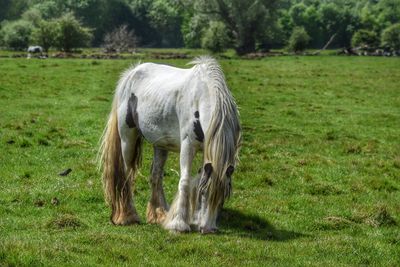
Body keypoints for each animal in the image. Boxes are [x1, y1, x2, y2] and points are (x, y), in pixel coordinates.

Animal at [99, 56, 241, 234]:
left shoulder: (207, 151)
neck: (201, 96)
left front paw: (194, 219)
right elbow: (185, 181)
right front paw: (179, 224)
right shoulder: (188, 145)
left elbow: (198, 177)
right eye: (204, 192)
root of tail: (132, 72)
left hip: (160, 145)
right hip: (127, 139)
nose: (208, 229)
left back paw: (158, 215)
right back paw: (127, 216)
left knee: (156, 176)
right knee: (127, 176)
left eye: (224, 196)